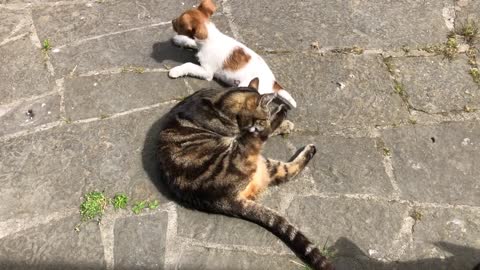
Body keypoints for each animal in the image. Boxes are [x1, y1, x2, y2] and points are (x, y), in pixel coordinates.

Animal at [158, 77, 334, 268]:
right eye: (262, 118)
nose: (264, 121)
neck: (220, 101)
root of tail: (224, 200)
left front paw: (284, 124)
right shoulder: (244, 132)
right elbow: (267, 129)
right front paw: (279, 120)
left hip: (265, 164)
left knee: (287, 171)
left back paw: (308, 148)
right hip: (245, 152)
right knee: (264, 142)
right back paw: (283, 112)